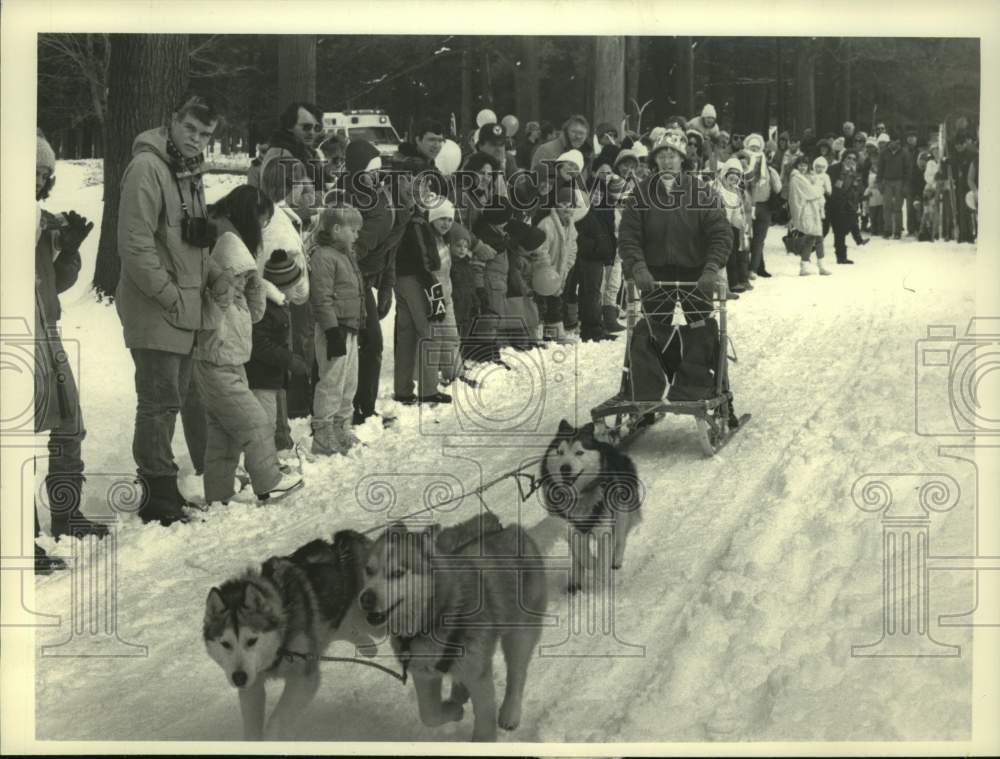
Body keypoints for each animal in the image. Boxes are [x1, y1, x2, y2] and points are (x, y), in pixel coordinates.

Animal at [203, 532, 378, 740]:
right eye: (226, 644)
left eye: (252, 640)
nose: (239, 678)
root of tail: (336, 545)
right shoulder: (252, 686)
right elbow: (252, 726)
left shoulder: (303, 678)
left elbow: (277, 721)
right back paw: (368, 647)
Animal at [360, 516, 548, 744]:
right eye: (369, 570)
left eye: (397, 573)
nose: (366, 599)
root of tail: (511, 529)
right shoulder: (423, 673)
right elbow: (429, 715)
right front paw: (453, 710)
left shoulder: (477, 675)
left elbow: (484, 724)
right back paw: (459, 695)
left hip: (520, 634)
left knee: (517, 673)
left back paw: (509, 713)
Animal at [544, 418, 644, 592]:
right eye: (560, 452)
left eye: (579, 452)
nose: (565, 468)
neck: (579, 497)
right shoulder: (569, 528)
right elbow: (580, 553)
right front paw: (589, 564)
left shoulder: (604, 528)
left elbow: (603, 558)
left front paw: (599, 583)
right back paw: (576, 579)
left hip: (621, 513)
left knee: (620, 538)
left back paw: (616, 559)